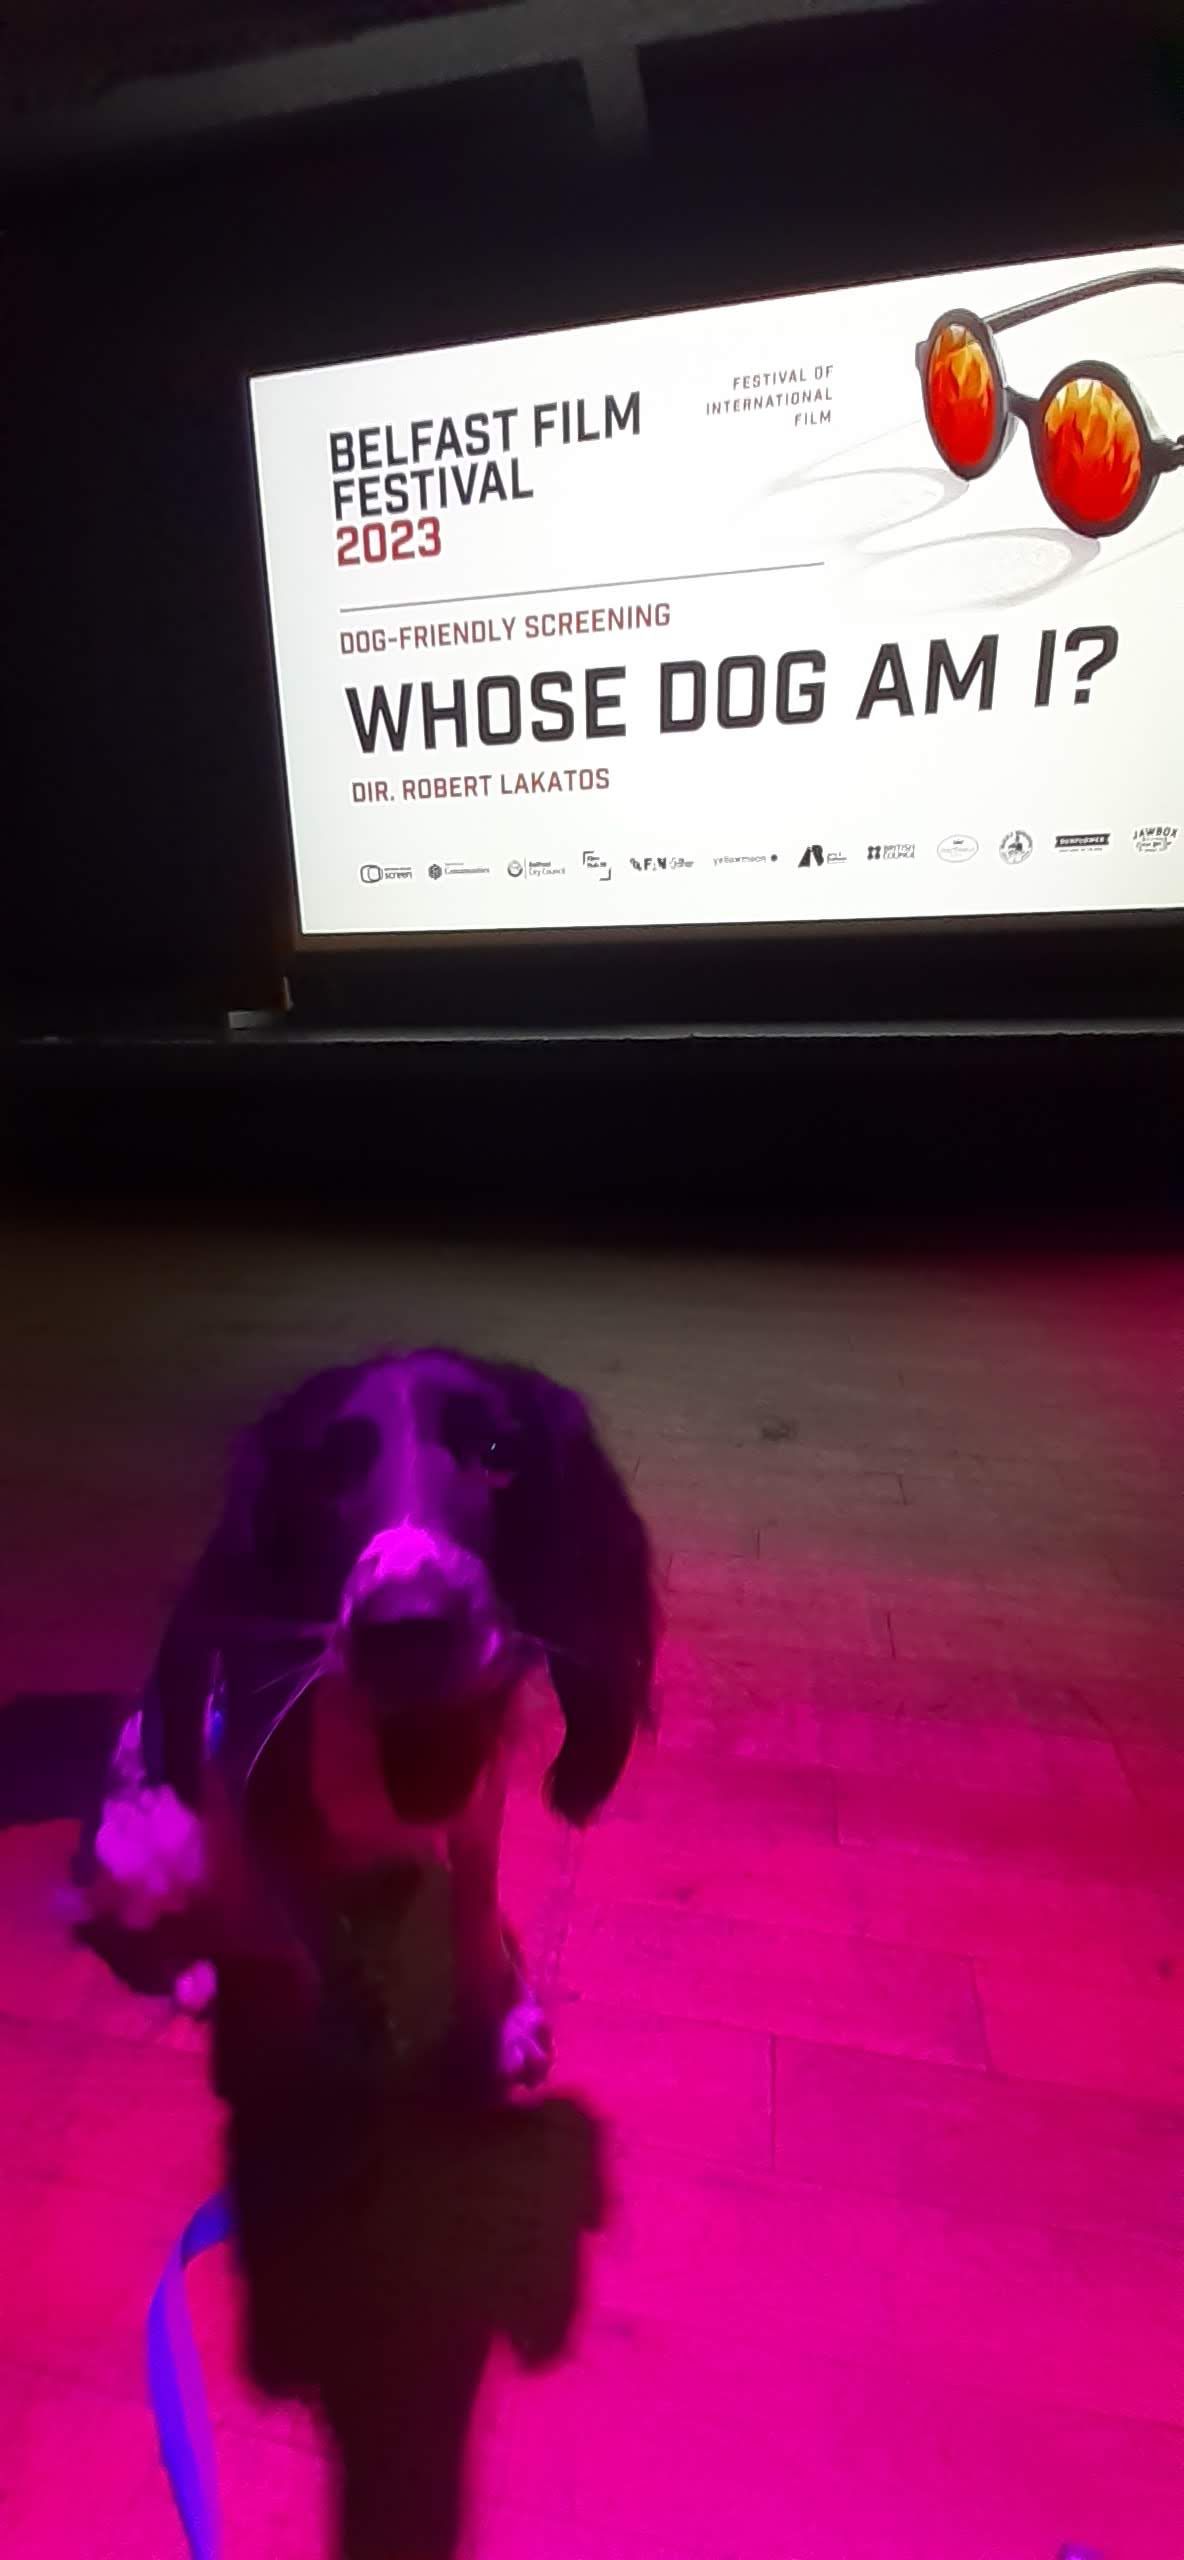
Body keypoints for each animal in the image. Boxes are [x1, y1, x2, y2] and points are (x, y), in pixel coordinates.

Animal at [80, 1348, 656, 2091]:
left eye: (497, 1454)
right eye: (325, 1473)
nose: (408, 1630)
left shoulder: (479, 1794)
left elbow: (476, 1893)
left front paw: (499, 2012)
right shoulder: (266, 1811)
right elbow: (321, 1932)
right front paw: (357, 2019)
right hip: (150, 1841)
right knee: (122, 1923)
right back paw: (189, 1972)